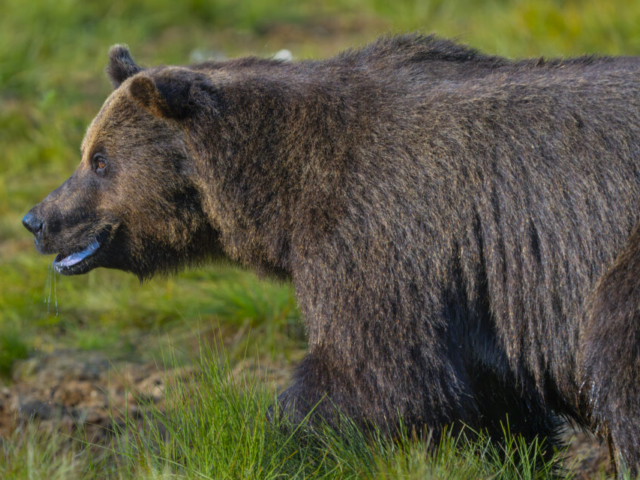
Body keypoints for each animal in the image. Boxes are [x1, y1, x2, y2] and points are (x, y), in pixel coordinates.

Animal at [22, 35, 640, 474]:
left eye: (99, 160)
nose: (37, 220)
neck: (279, 188)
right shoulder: (471, 295)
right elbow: (494, 405)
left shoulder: (380, 237)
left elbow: (370, 376)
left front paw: (235, 436)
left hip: (620, 264)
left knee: (615, 359)